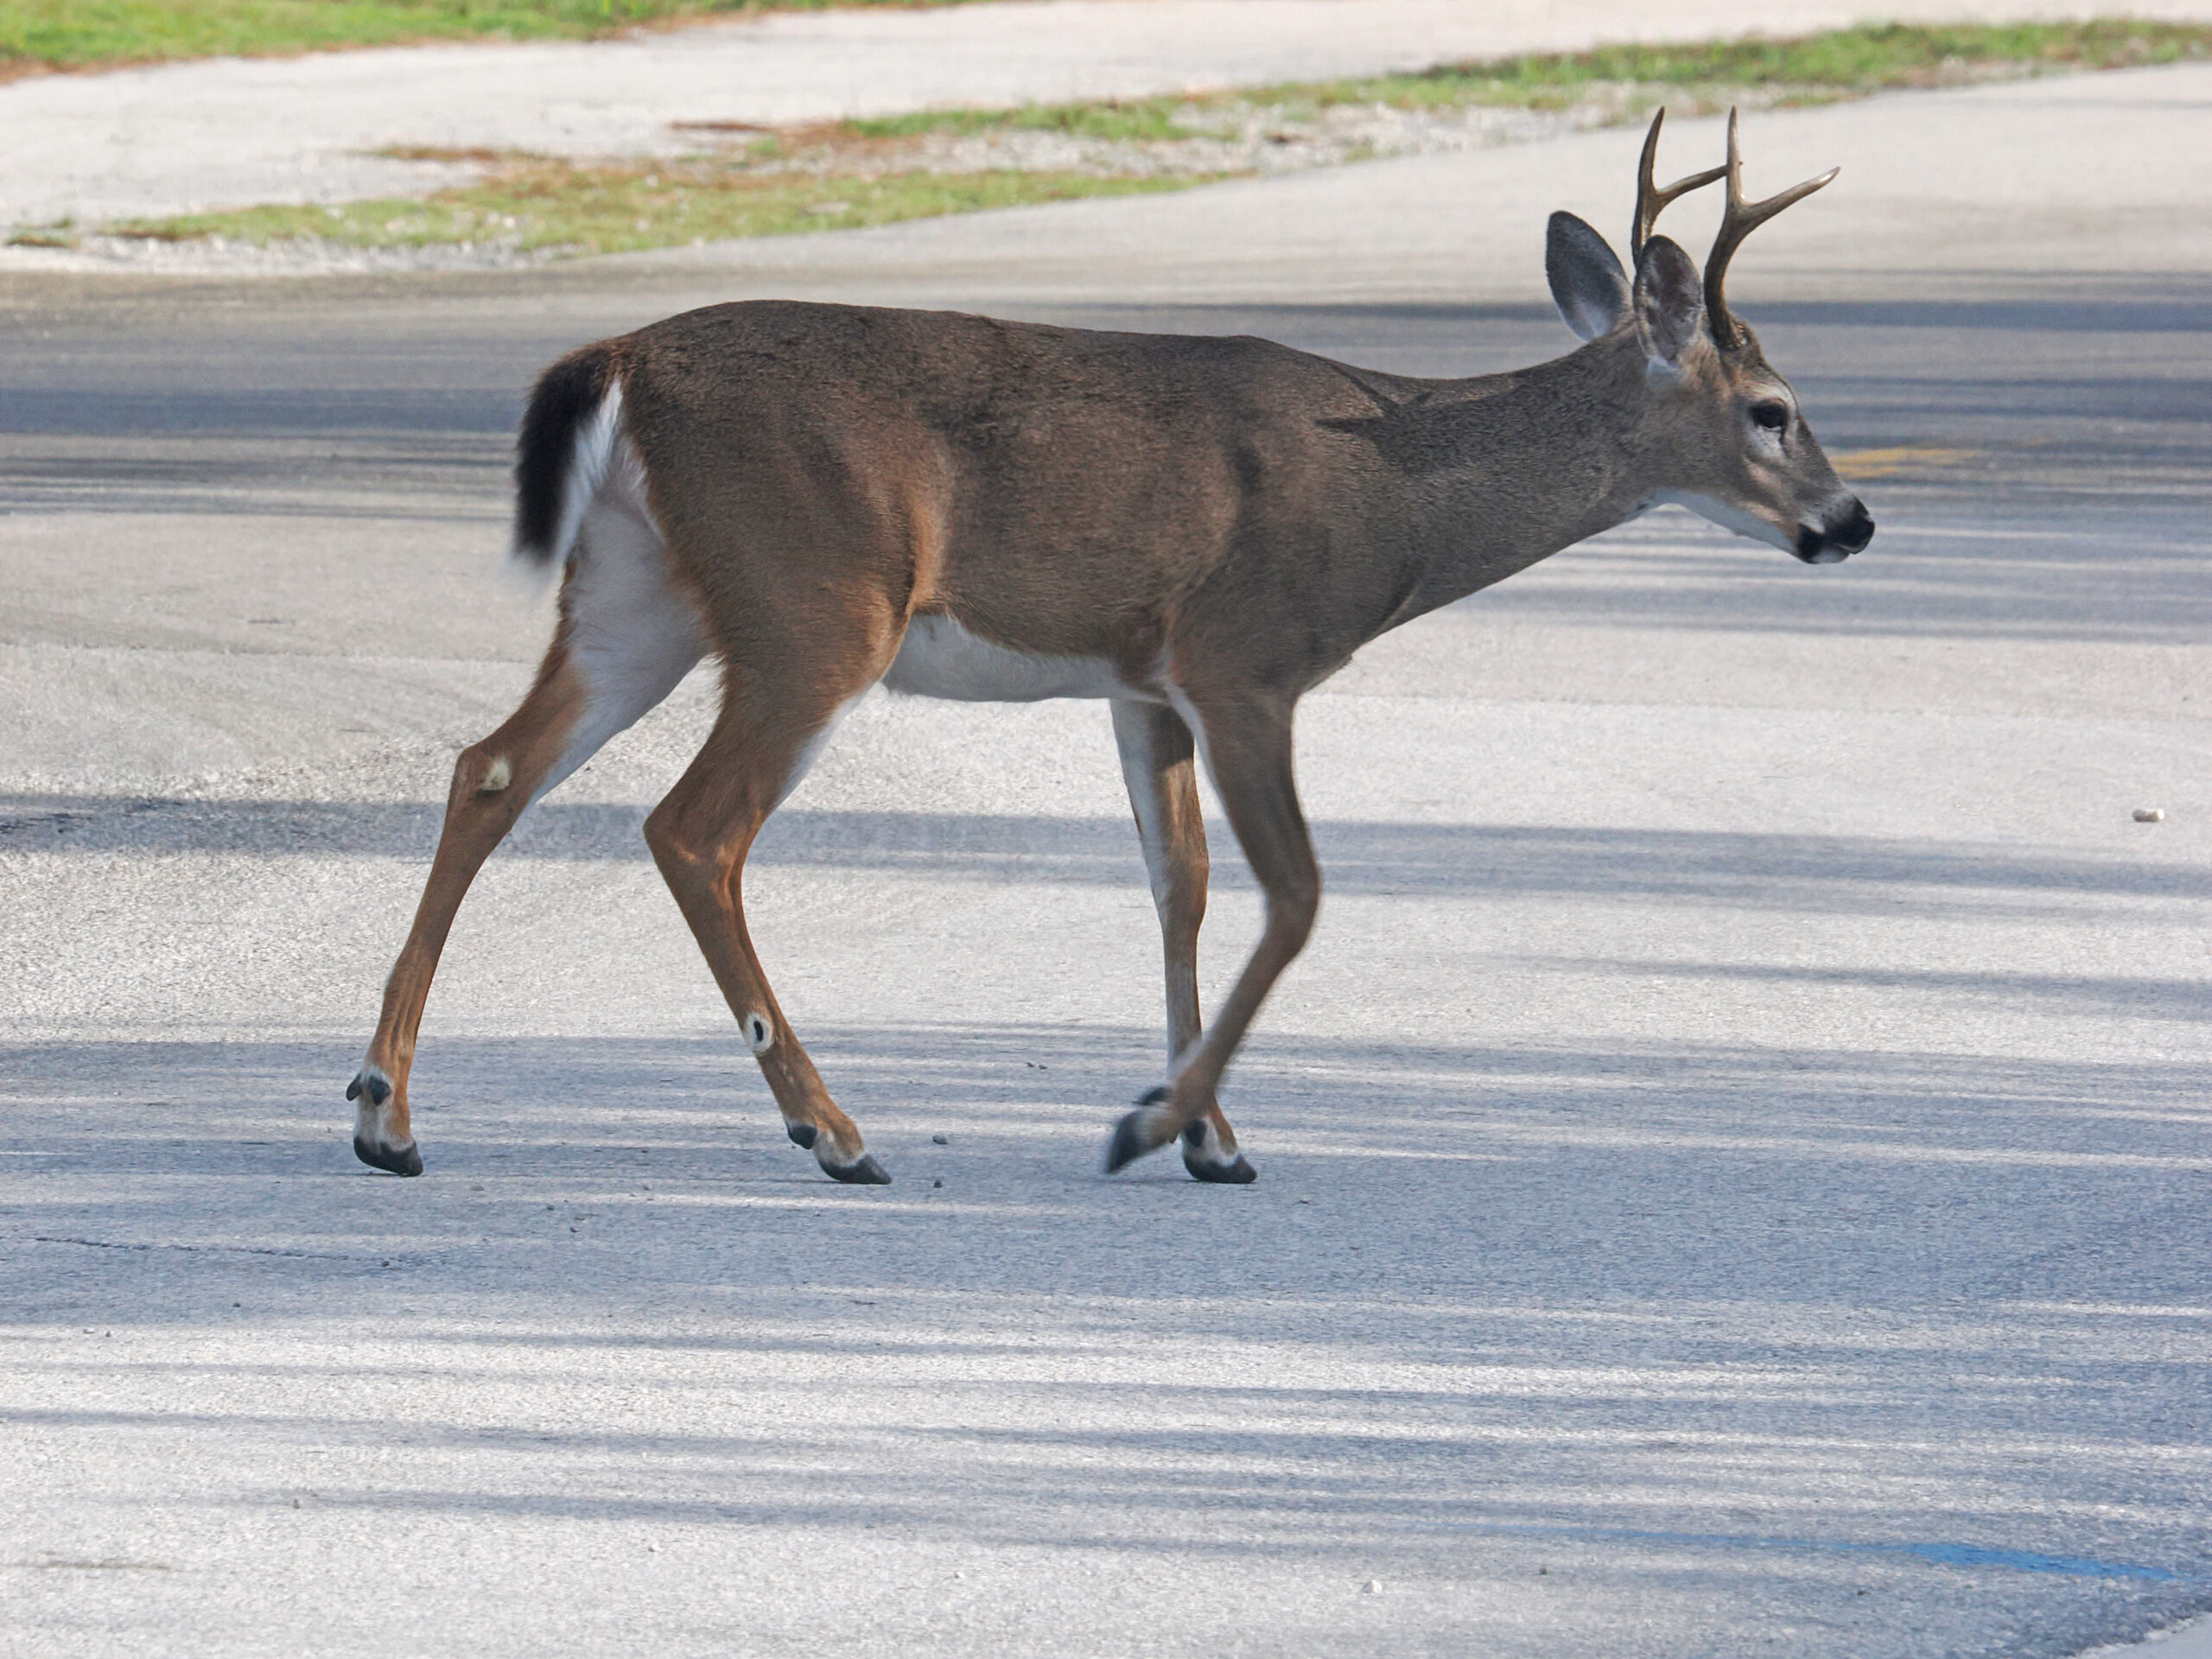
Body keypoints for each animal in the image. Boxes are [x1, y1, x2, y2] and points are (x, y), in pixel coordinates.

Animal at [347, 109, 1872, 1186]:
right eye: (1773, 410)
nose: (1852, 521)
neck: (1393, 498)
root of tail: (620, 358)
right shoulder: (1246, 654)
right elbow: (1295, 894)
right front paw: (1157, 1125)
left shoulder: (1145, 680)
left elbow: (1178, 885)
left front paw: (1211, 1136)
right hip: (817, 602)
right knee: (692, 829)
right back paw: (834, 1132)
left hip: (638, 592)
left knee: (489, 768)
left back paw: (385, 1112)